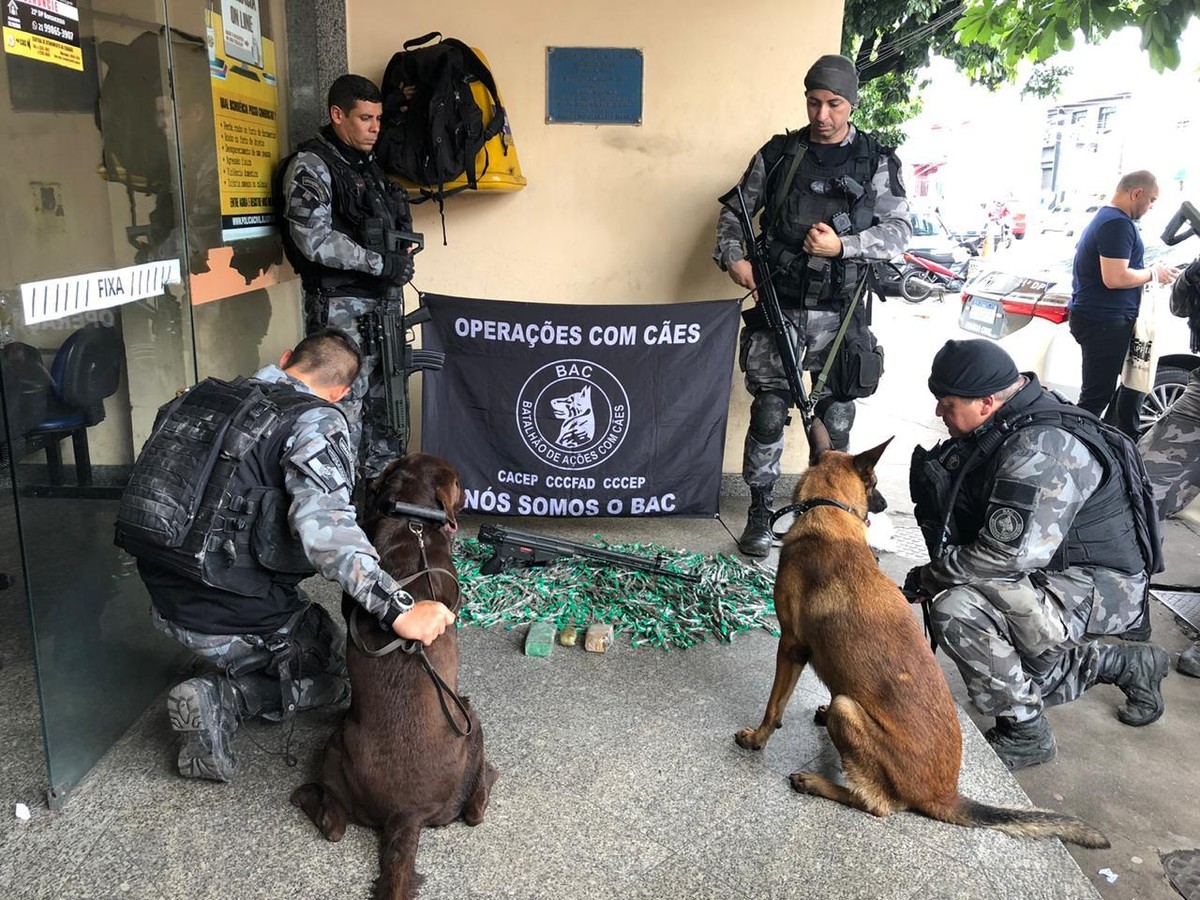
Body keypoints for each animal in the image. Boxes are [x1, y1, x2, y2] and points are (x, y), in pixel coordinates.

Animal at [734, 422, 1108, 854]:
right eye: (875, 484)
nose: (882, 504)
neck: (829, 511)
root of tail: (943, 794)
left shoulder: (791, 646)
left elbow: (773, 706)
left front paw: (757, 738)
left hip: (849, 712)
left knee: (877, 803)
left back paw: (814, 782)